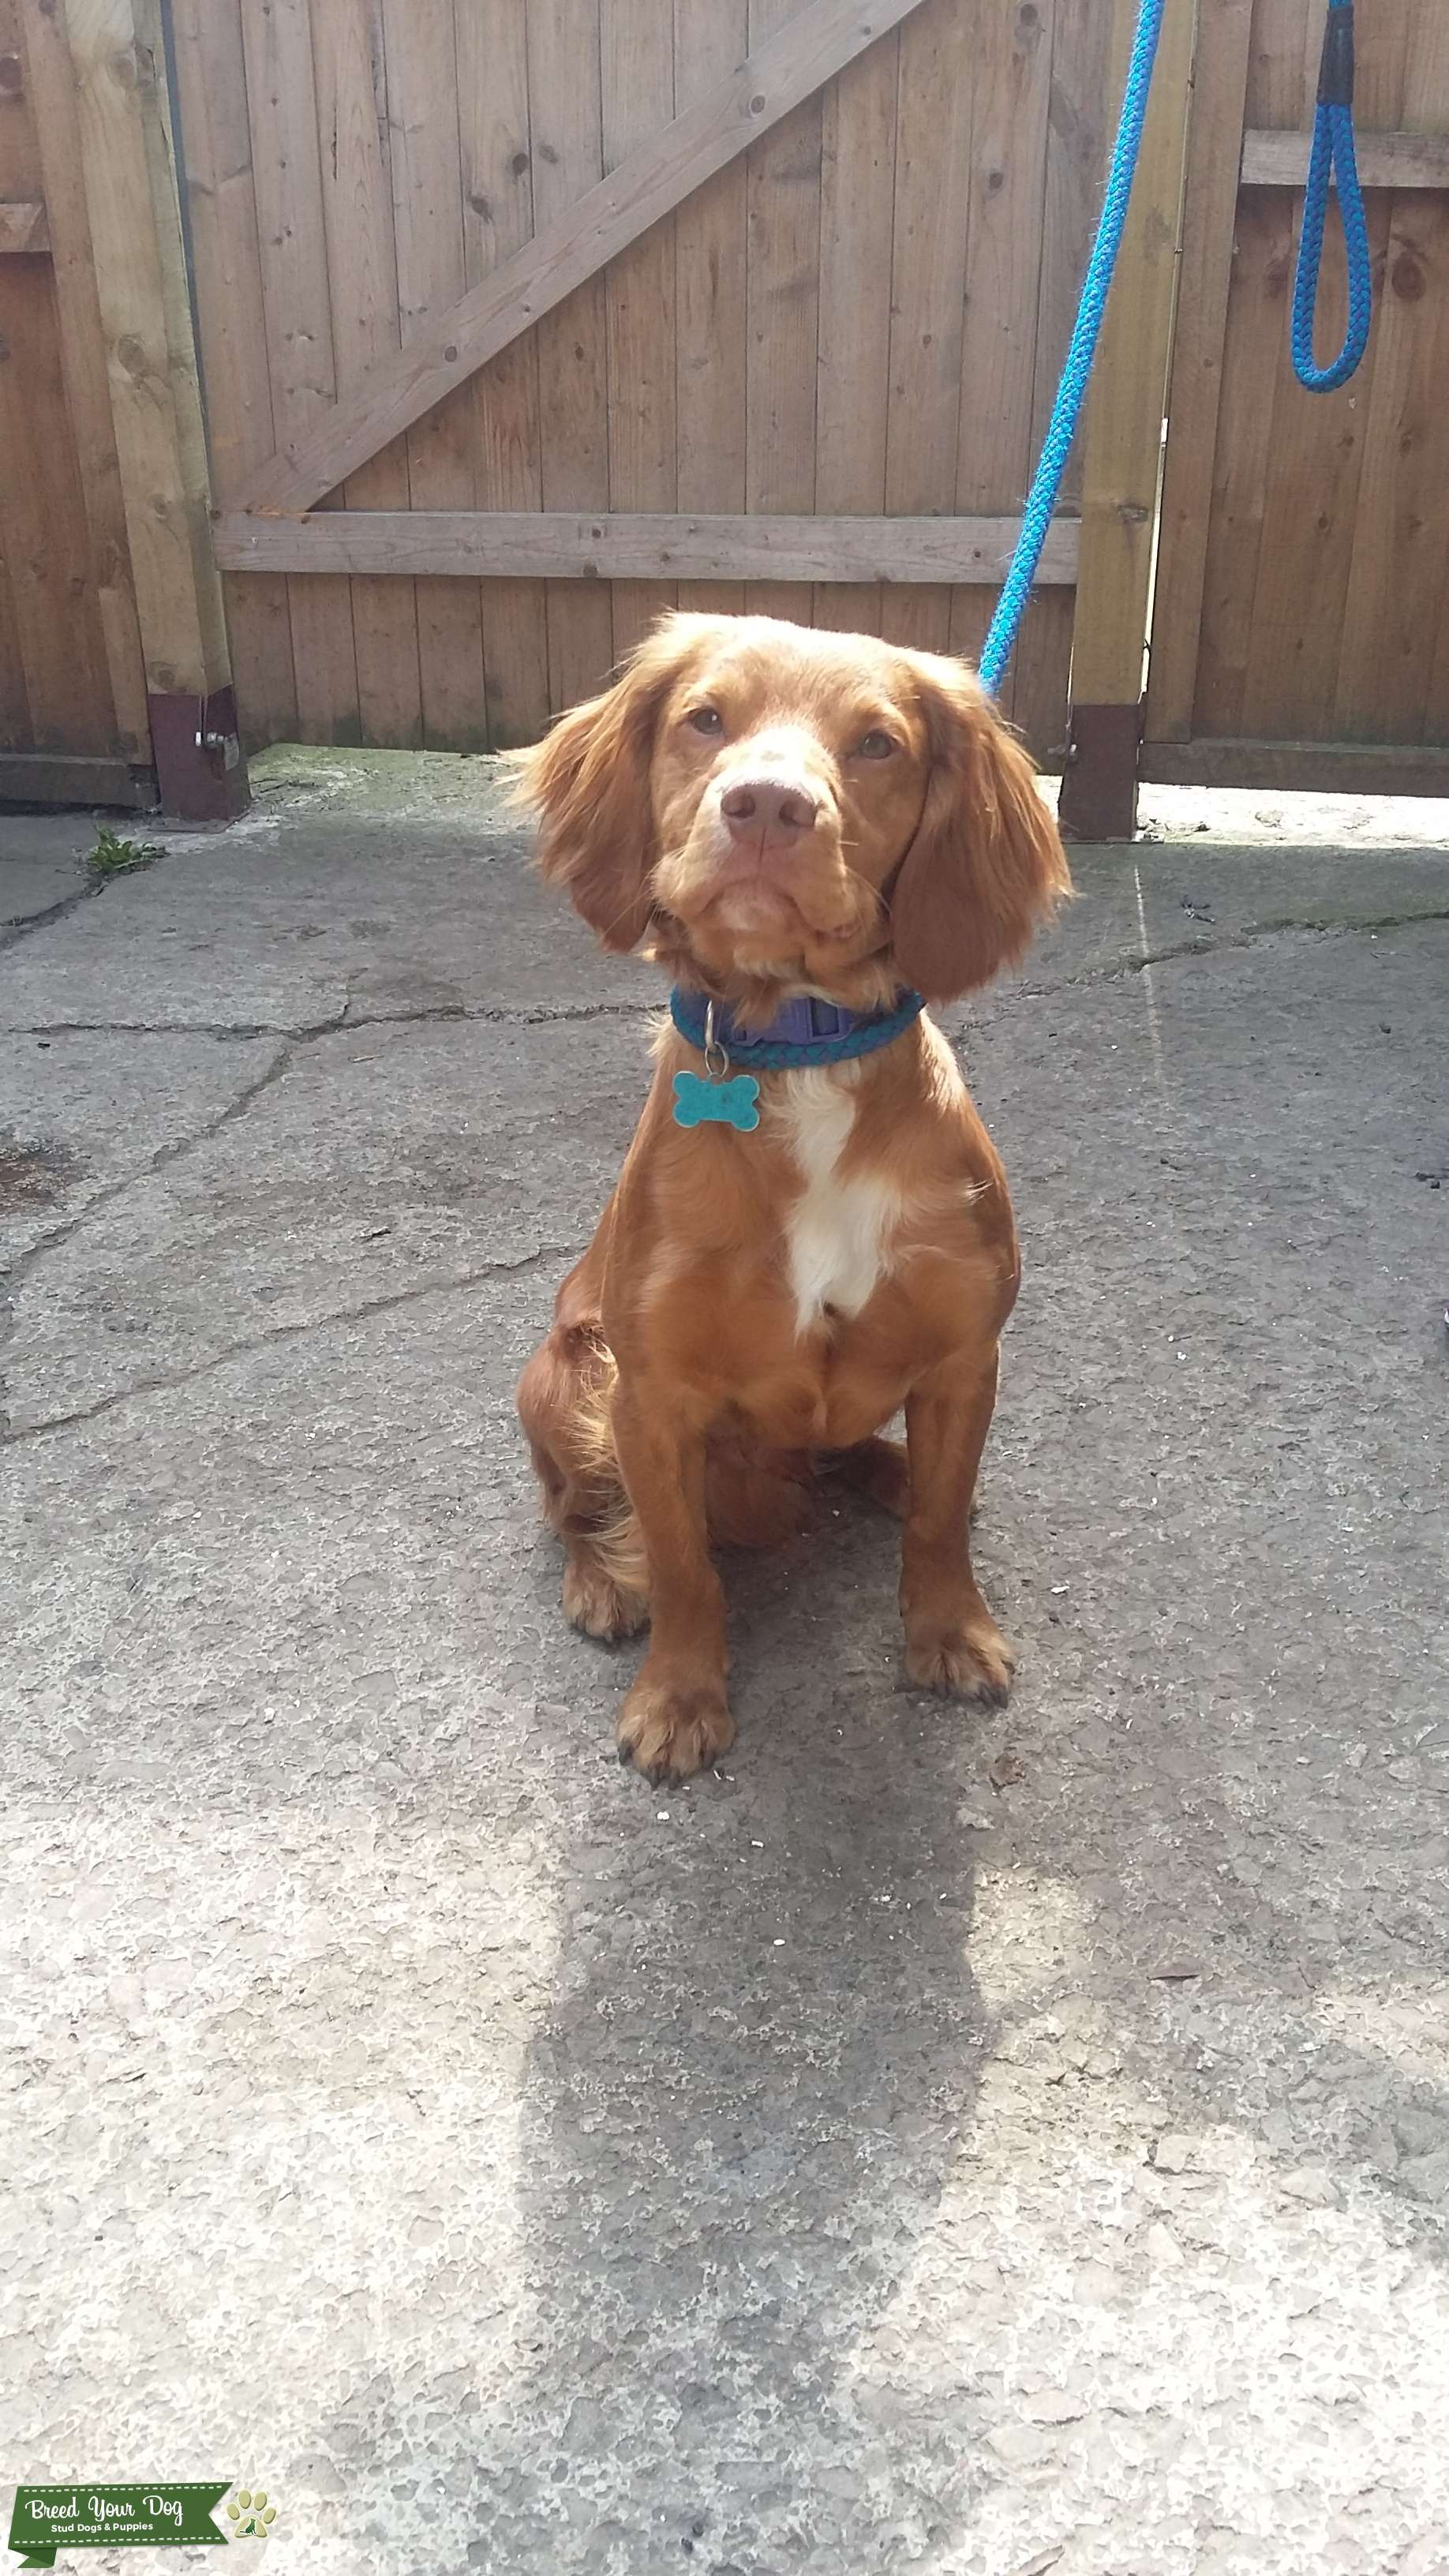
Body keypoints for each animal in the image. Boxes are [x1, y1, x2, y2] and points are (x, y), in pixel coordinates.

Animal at [507, 618, 1061, 1792]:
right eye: (705, 718)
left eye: (879, 743)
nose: (767, 805)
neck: (804, 1051)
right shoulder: (649, 1396)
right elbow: (683, 1565)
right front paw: (679, 1699)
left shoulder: (966, 1355)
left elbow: (942, 1525)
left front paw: (950, 1633)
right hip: (561, 1374)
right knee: (568, 1509)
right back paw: (597, 1583)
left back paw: (889, 1469)